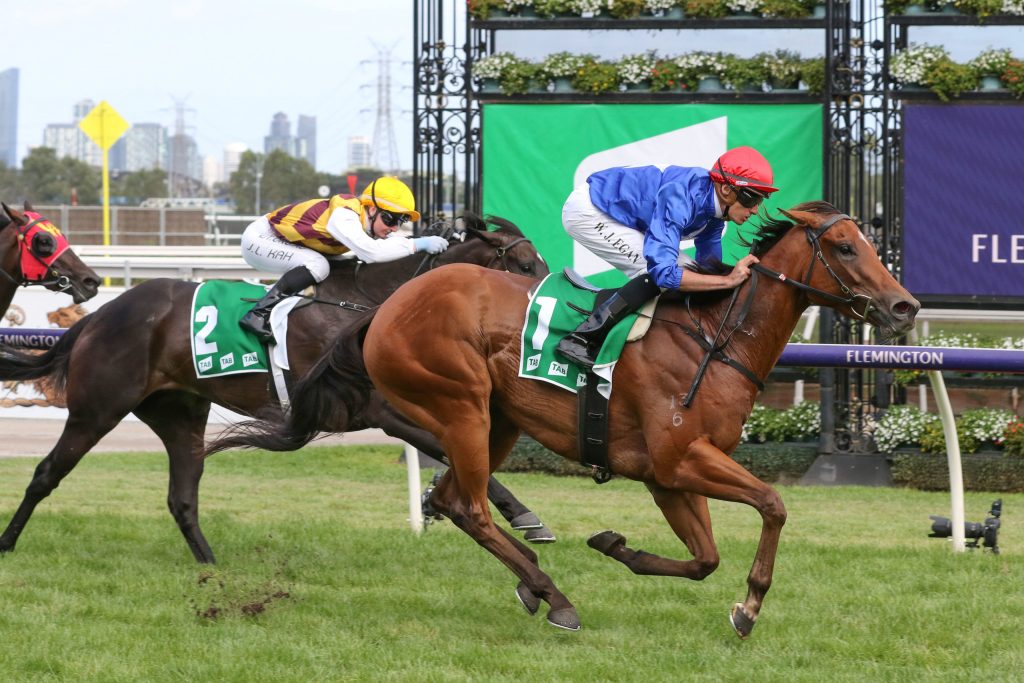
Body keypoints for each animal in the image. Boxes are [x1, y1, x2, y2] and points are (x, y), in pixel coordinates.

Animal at [0, 213, 550, 564]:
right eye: (524, 265)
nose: (551, 306)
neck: (376, 307)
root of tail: (97, 318)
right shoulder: (381, 410)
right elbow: (455, 452)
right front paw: (524, 516)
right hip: (98, 409)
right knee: (46, 474)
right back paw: (7, 544)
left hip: (179, 414)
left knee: (182, 497)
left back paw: (212, 565)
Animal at [212, 202, 920, 637]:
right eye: (844, 247)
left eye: (867, 243)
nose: (905, 307)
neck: (714, 339)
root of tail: (385, 308)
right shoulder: (680, 459)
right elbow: (773, 504)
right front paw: (748, 608)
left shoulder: (667, 476)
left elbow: (704, 558)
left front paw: (616, 546)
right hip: (461, 406)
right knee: (468, 505)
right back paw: (554, 596)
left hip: (497, 422)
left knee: (452, 498)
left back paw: (532, 581)